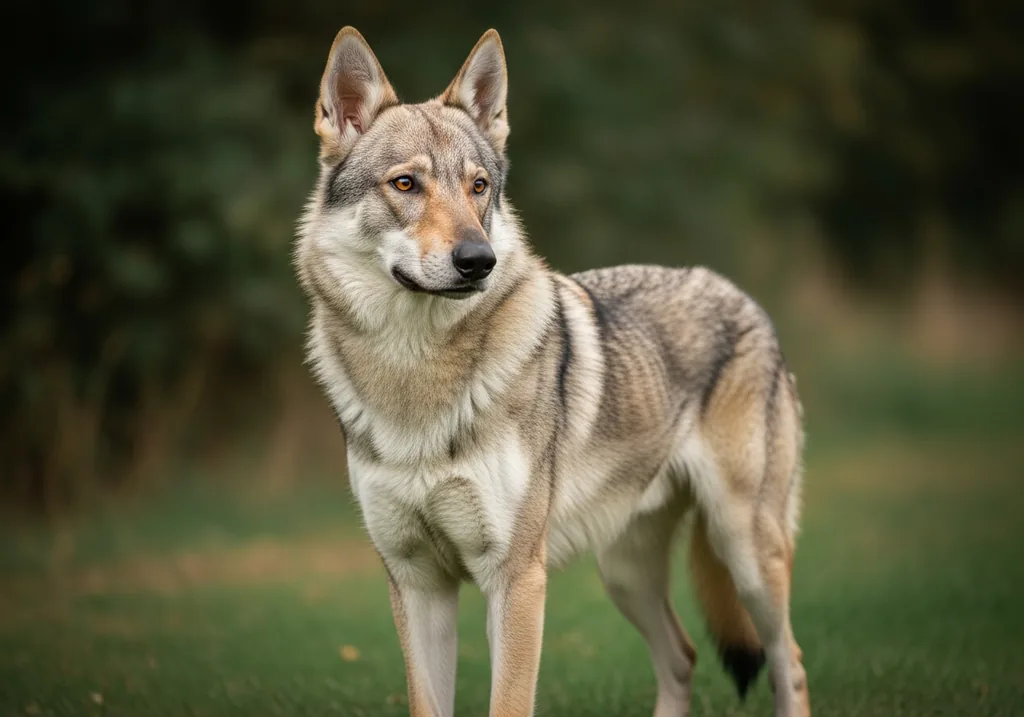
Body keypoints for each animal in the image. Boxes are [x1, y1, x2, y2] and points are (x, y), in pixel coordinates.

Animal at [295, 25, 811, 717]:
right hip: (625, 574)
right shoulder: (416, 582)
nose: (478, 260)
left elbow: (509, 701)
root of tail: (740, 296)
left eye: (479, 187)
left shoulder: (516, 579)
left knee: (789, 661)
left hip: (747, 552)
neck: (416, 374)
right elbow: (428, 701)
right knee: (683, 656)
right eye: (405, 185)